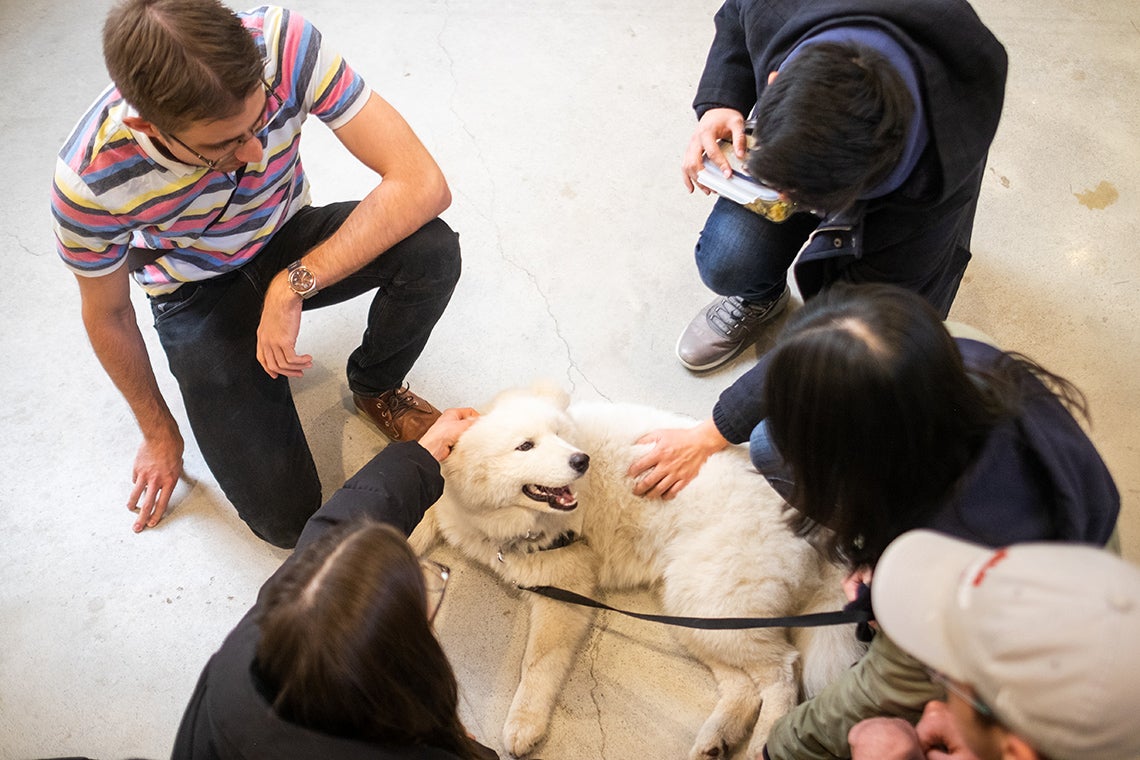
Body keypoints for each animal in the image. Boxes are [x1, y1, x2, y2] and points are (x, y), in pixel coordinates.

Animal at [410, 387, 861, 760]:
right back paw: (716, 741)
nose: (581, 460)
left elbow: (538, 662)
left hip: (713, 601)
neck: (501, 526)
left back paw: (758, 747)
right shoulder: (446, 510)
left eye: (560, 435)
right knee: (746, 684)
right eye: (525, 446)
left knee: (783, 673)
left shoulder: (565, 590)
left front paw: (524, 724)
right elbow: (414, 527)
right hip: (697, 615)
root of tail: (815, 521)